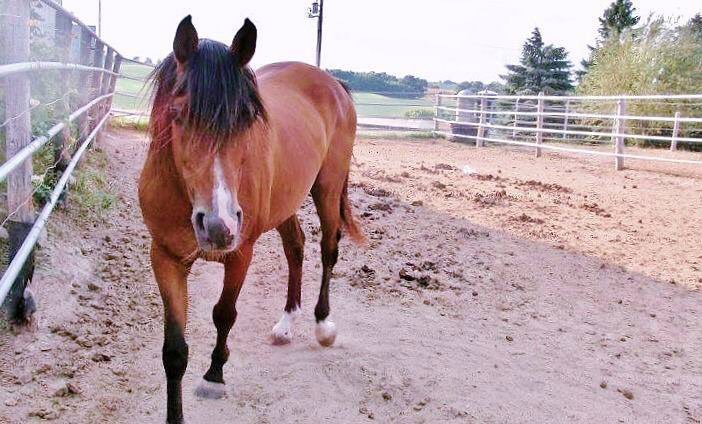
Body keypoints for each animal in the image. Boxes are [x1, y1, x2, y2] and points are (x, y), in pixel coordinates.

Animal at [138, 16, 364, 424]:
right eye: (178, 114)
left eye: (246, 119)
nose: (219, 227)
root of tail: (330, 81)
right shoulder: (164, 258)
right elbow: (174, 350)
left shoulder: (241, 254)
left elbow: (224, 314)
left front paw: (214, 376)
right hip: (286, 201)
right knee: (296, 248)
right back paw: (286, 324)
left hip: (327, 187)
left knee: (328, 249)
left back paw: (323, 325)